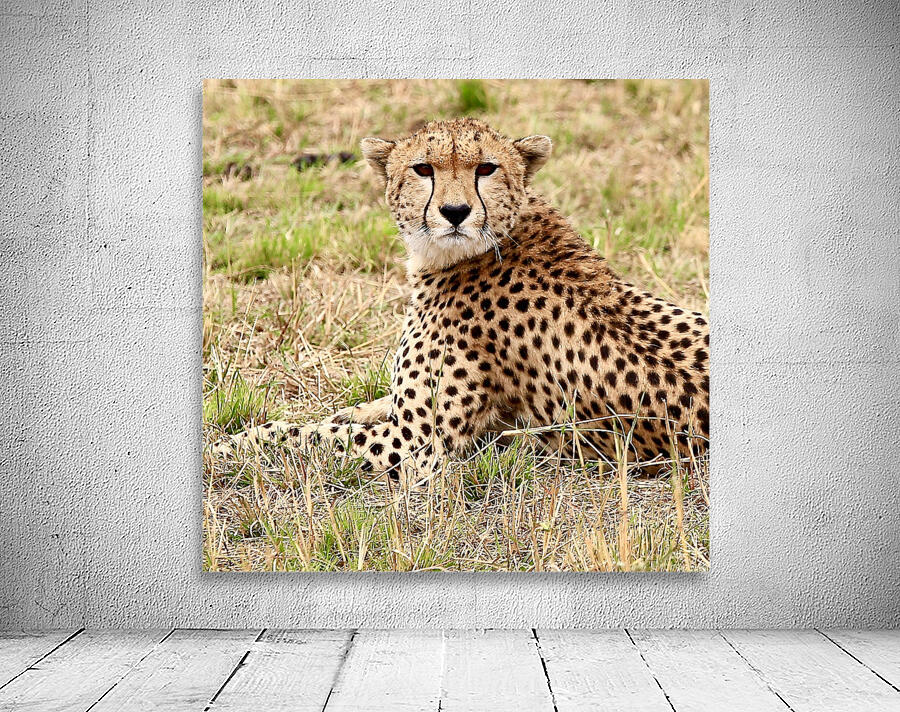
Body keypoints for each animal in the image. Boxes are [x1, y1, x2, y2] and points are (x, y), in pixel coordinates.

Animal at [215, 118, 709, 485]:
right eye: (423, 169)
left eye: (486, 169)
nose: (455, 212)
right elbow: (348, 414)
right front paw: (344, 411)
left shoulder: (415, 444)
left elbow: (303, 435)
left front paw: (232, 444)